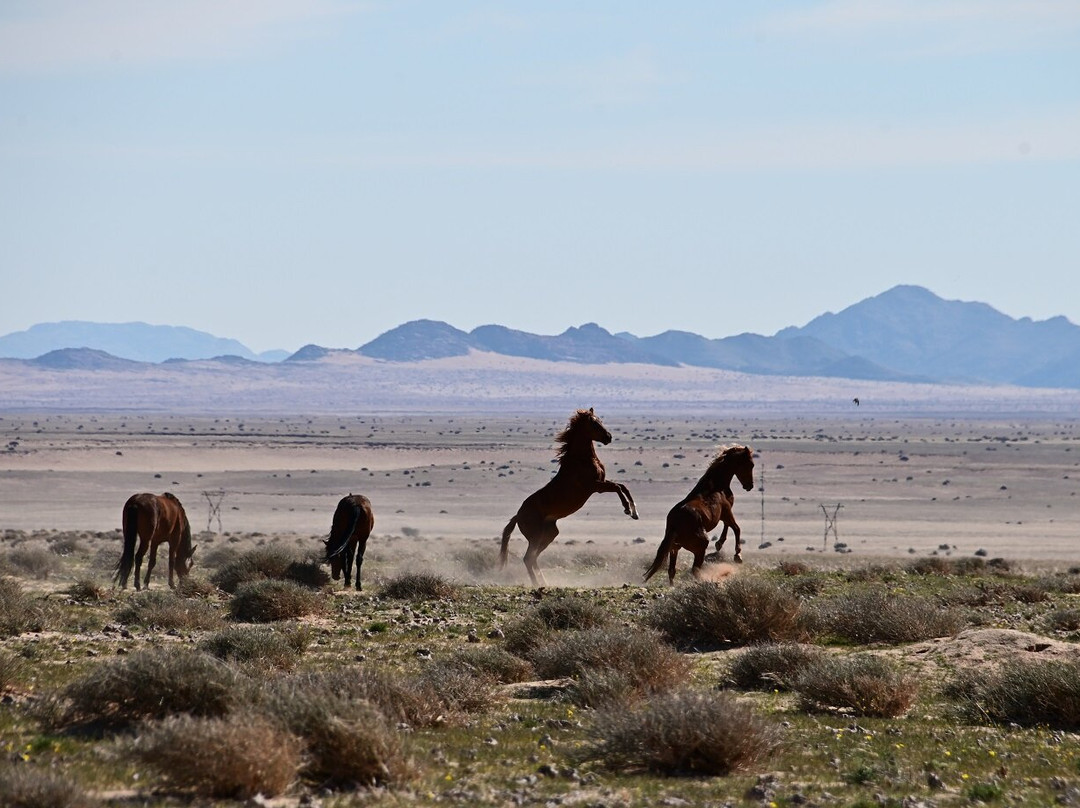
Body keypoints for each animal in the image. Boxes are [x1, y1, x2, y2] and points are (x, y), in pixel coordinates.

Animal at [500, 408, 638, 587]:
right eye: (594, 423)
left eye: (600, 420)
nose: (608, 437)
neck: (581, 459)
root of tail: (518, 516)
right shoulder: (595, 487)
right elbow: (617, 488)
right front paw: (627, 509)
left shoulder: (601, 483)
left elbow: (623, 487)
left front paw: (635, 512)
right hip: (536, 536)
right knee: (528, 558)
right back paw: (538, 584)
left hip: (549, 534)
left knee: (533, 558)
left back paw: (545, 583)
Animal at [643, 445, 755, 585]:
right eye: (751, 464)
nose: (749, 486)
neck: (716, 487)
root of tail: (675, 524)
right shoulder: (727, 512)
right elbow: (736, 528)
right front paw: (737, 555)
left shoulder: (724, 515)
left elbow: (728, 526)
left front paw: (719, 543)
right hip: (700, 547)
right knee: (695, 569)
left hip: (675, 548)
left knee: (672, 570)